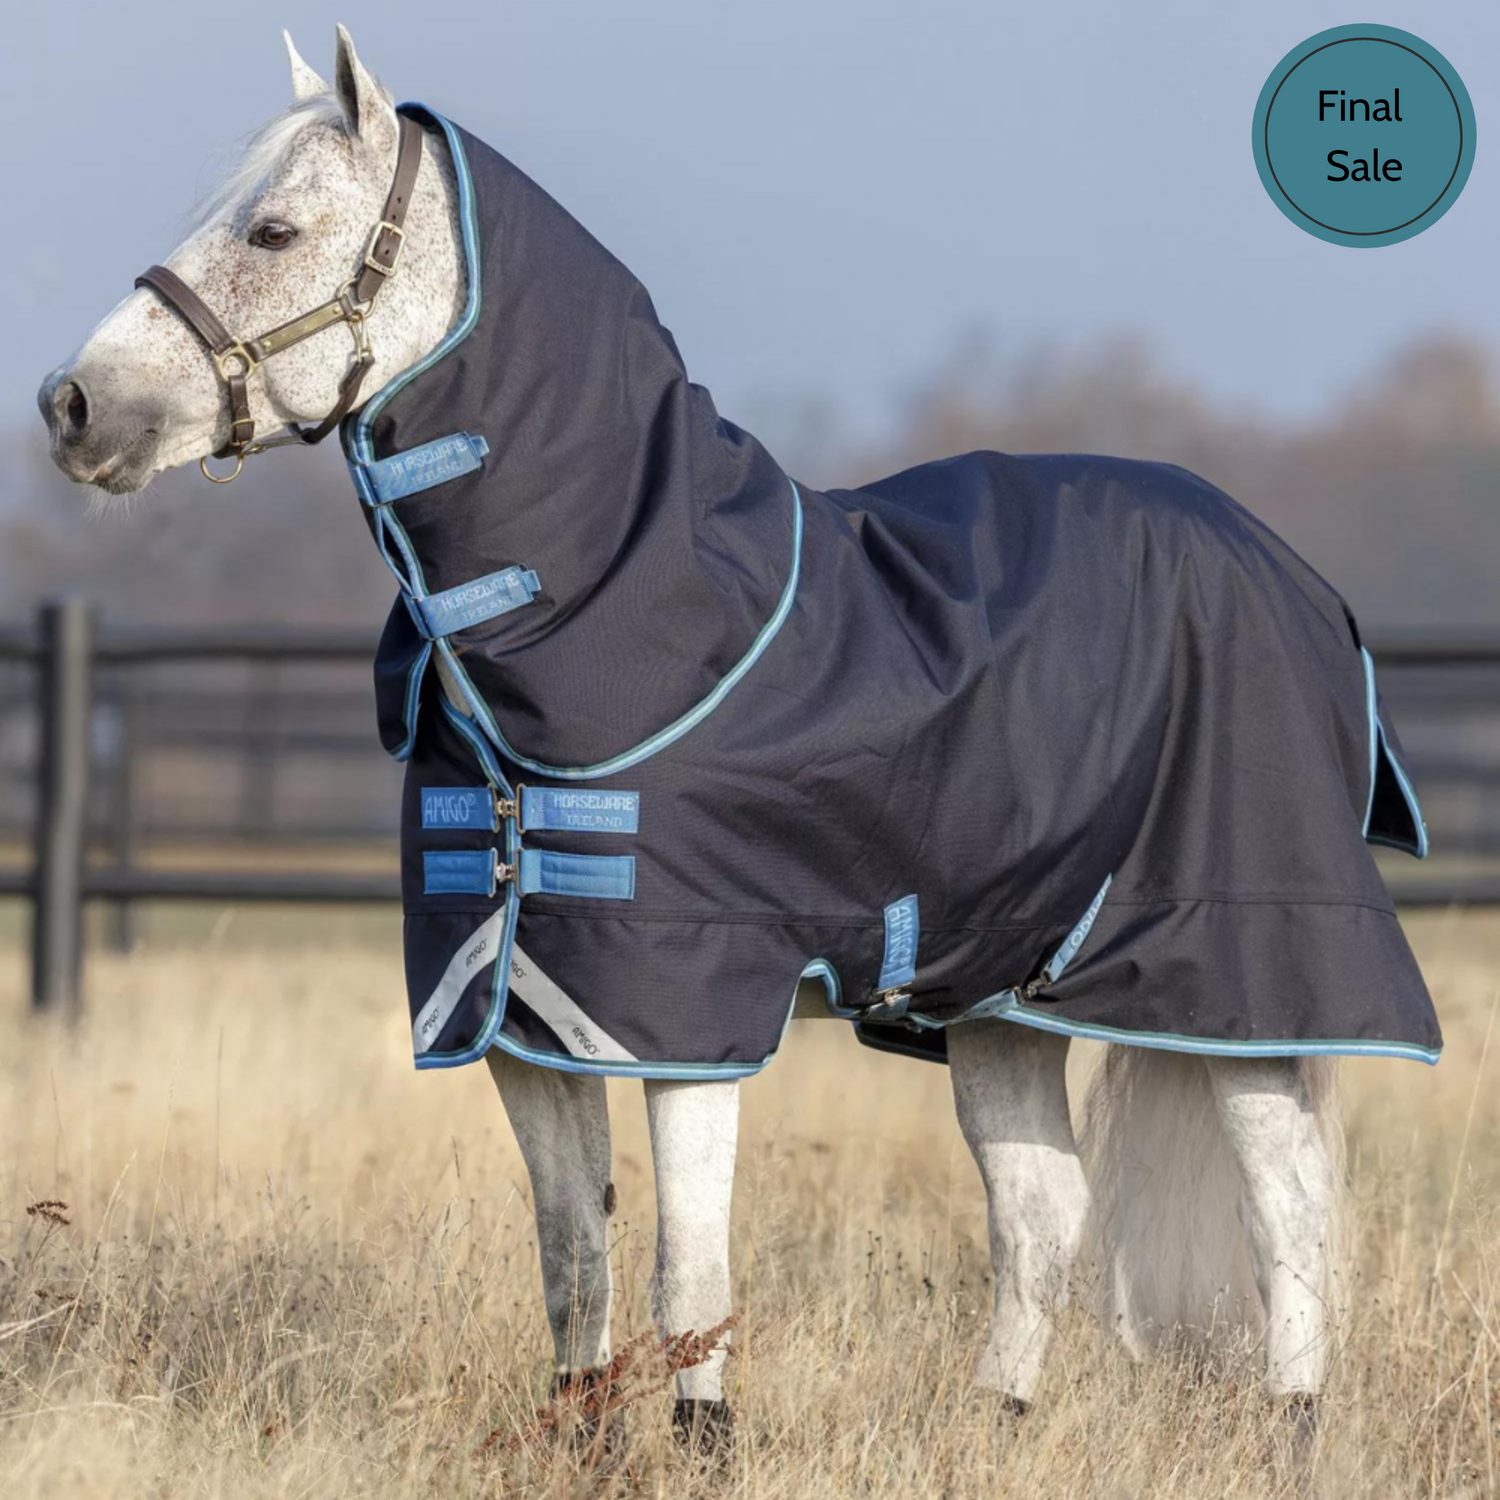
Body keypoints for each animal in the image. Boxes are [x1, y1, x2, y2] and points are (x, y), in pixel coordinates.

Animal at [38, 26, 1439, 1457]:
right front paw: (585, 1443)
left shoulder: (686, 1012)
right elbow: (571, 1254)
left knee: (1290, 1207)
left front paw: (703, 1445)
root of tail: (1293, 574)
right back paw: (998, 1424)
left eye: (272, 231)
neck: (636, 608)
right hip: (1003, 996)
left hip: (1251, 977)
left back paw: (1293, 1430)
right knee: (1042, 1212)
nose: (73, 405)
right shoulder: (524, 1016)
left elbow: (688, 1273)